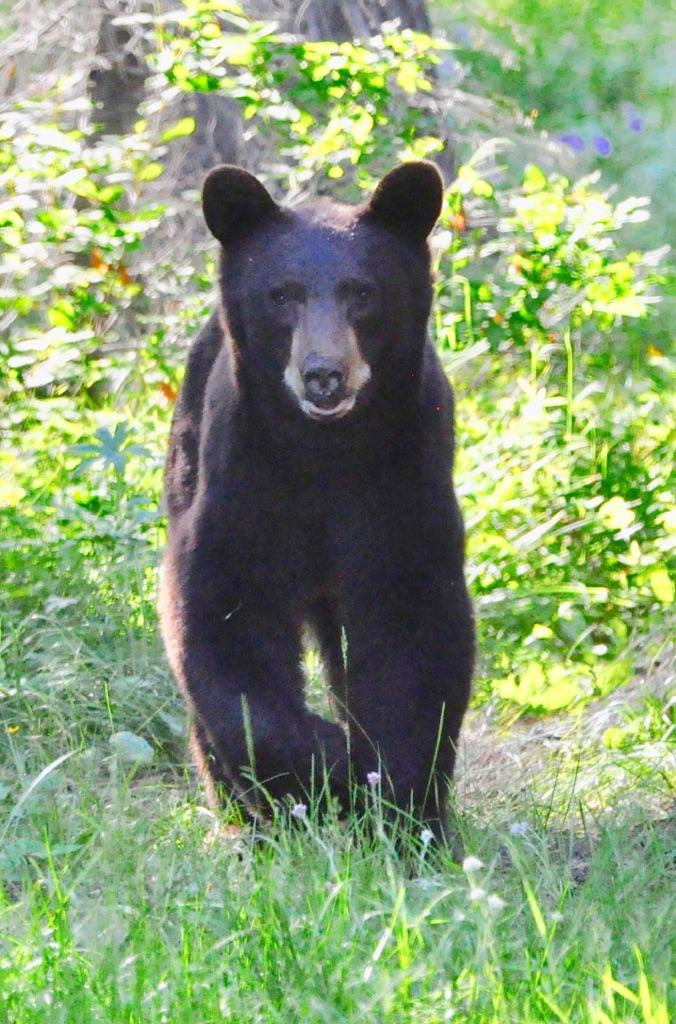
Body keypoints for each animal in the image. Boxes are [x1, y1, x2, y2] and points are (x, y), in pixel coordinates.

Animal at [158, 161, 474, 838]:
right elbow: (225, 621)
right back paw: (243, 820)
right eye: (282, 295)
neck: (324, 454)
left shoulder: (402, 484)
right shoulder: (245, 483)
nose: (324, 374)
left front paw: (404, 808)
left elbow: (413, 632)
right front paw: (327, 765)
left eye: (361, 292)